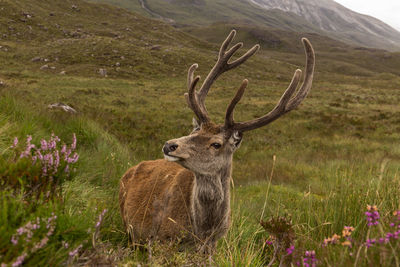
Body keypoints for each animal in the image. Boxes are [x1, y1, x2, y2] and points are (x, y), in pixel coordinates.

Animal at [119, 29, 316, 255]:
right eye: (194, 130)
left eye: (216, 144)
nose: (169, 145)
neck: (204, 229)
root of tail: (128, 171)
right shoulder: (160, 239)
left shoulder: (213, 245)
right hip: (129, 229)